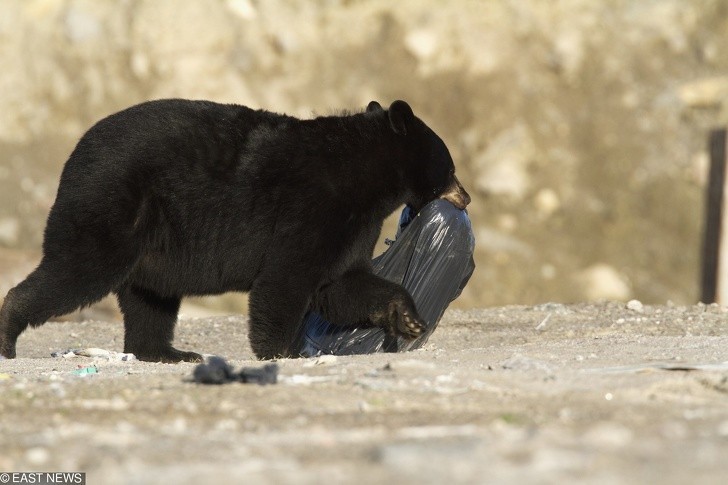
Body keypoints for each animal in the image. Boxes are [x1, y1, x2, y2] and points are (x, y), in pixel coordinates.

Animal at [0, 100, 470, 362]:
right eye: (450, 167)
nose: (466, 196)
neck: (366, 175)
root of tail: (74, 156)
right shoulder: (314, 206)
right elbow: (287, 278)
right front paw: (281, 350)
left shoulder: (354, 225)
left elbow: (340, 283)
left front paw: (406, 318)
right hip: (110, 209)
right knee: (78, 271)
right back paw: (8, 334)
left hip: (150, 245)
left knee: (149, 300)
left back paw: (170, 353)